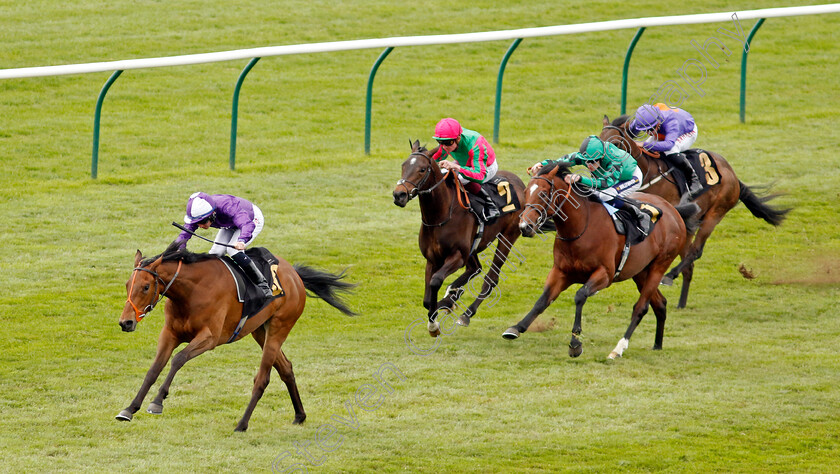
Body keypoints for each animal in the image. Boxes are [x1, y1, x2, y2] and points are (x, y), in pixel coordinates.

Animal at [118, 244, 354, 434]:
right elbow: (154, 369)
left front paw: (157, 402)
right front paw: (129, 409)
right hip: (260, 331)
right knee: (286, 368)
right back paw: (299, 415)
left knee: (262, 379)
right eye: (127, 284)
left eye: (146, 286)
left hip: (279, 328)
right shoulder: (170, 334)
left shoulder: (210, 337)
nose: (125, 323)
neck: (191, 291)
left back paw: (242, 424)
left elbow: (178, 359)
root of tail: (294, 274)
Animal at [394, 139, 524, 336]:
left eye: (422, 169)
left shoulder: (457, 256)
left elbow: (436, 281)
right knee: (475, 268)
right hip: (473, 247)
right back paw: (453, 294)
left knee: (490, 279)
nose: (398, 195)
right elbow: (427, 299)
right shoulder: (432, 259)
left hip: (507, 236)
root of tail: (520, 182)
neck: (440, 216)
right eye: (403, 165)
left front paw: (434, 323)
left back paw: (466, 314)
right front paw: (442, 306)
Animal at [502, 161, 700, 358]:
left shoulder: (605, 275)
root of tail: (674, 211)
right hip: (641, 272)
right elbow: (543, 300)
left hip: (659, 267)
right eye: (526, 192)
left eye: (543, 193)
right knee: (660, 304)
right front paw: (516, 328)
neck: (580, 229)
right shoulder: (561, 272)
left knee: (641, 307)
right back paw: (657, 344)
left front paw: (575, 343)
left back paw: (618, 349)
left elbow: (580, 295)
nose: (525, 226)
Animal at [600, 115, 792, 308]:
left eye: (615, 142)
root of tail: (732, 173)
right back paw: (681, 303)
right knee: (689, 264)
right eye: (600, 138)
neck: (649, 173)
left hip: (715, 214)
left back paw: (670, 276)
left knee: (696, 251)